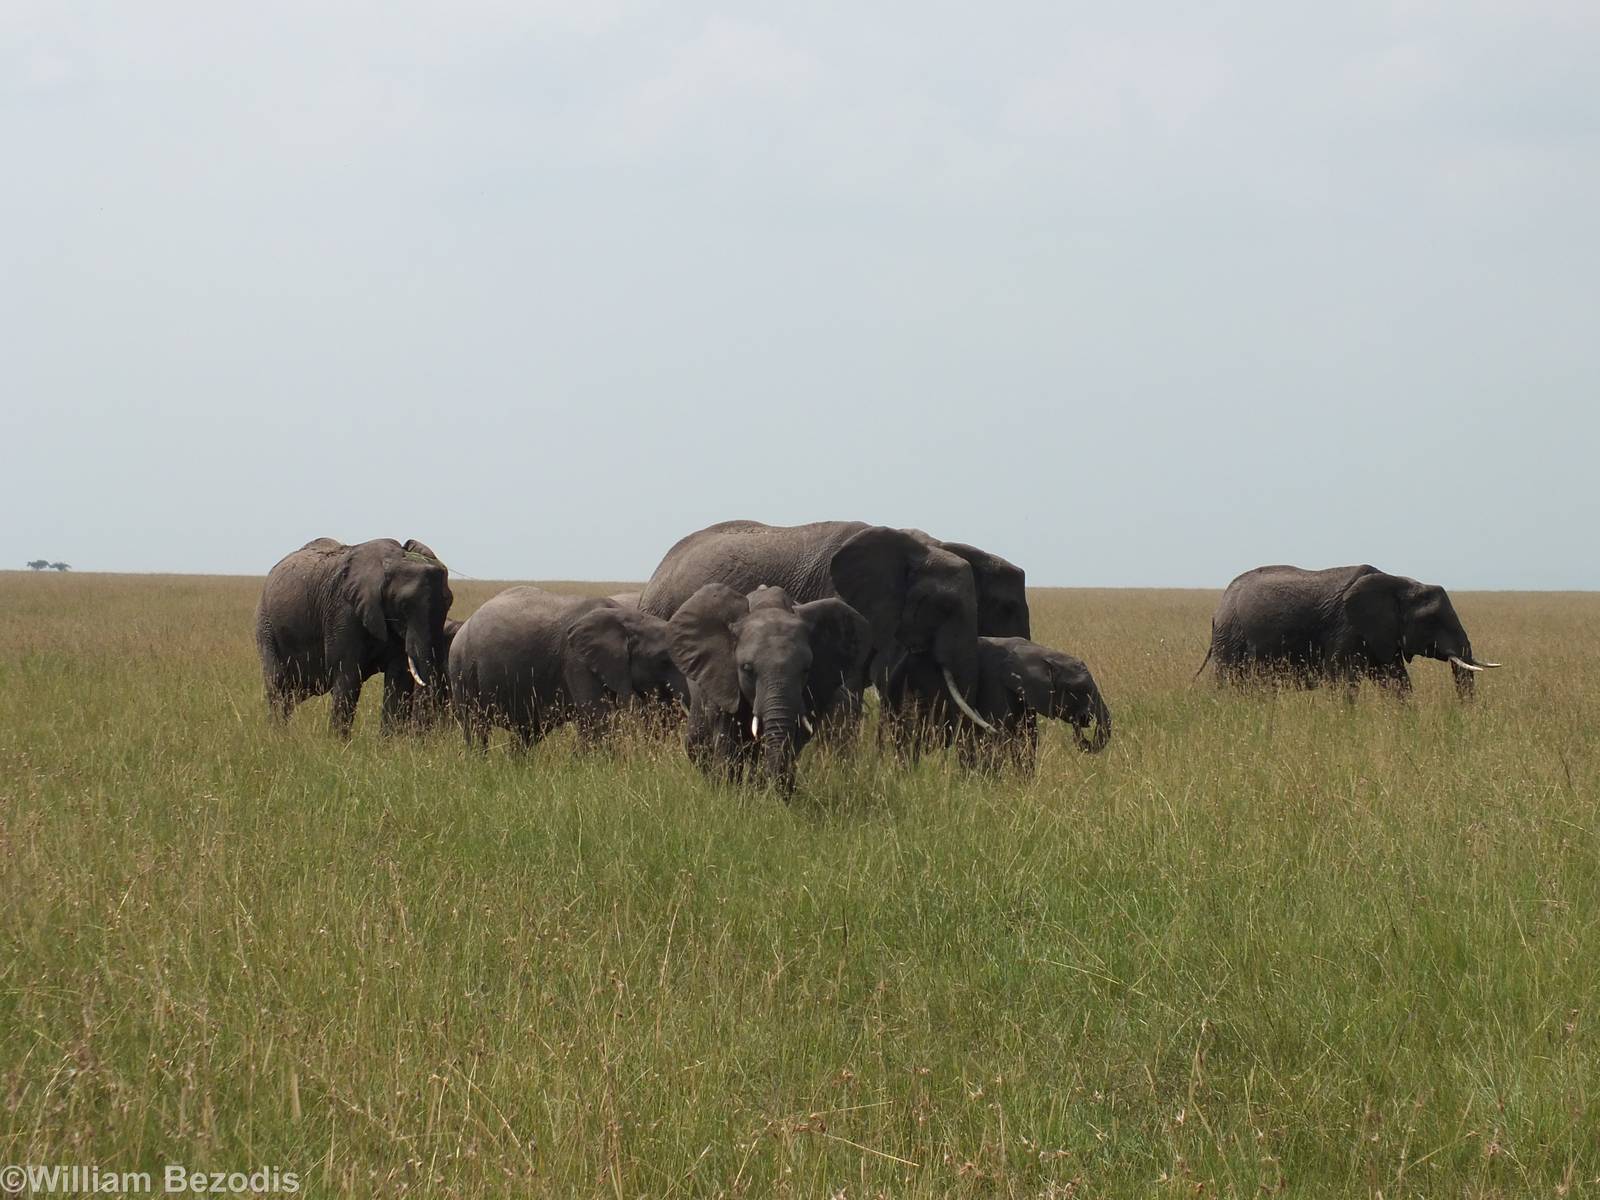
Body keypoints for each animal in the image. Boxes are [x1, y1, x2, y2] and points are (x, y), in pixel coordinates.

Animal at [255, 537, 454, 736]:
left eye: (449, 602)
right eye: (404, 605)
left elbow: (399, 680)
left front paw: (389, 743)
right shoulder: (343, 612)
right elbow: (348, 676)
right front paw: (337, 742)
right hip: (266, 627)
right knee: (277, 685)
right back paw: (278, 735)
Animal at [448, 587, 686, 749]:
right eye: (664, 660)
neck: (627, 617)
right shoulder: (576, 661)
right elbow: (600, 720)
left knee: (526, 733)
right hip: (462, 670)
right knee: (476, 727)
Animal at [667, 584, 872, 793]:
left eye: (806, 669)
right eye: (747, 668)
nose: (791, 791)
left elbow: (792, 738)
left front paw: (764, 792)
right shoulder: (722, 678)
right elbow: (727, 740)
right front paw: (731, 793)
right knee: (697, 743)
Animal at [1198, 564, 1501, 698]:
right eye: (1432, 620)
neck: (1397, 583)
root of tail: (1218, 607)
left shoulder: (1382, 635)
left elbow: (1397, 681)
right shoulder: (1345, 628)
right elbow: (1342, 682)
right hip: (1230, 636)